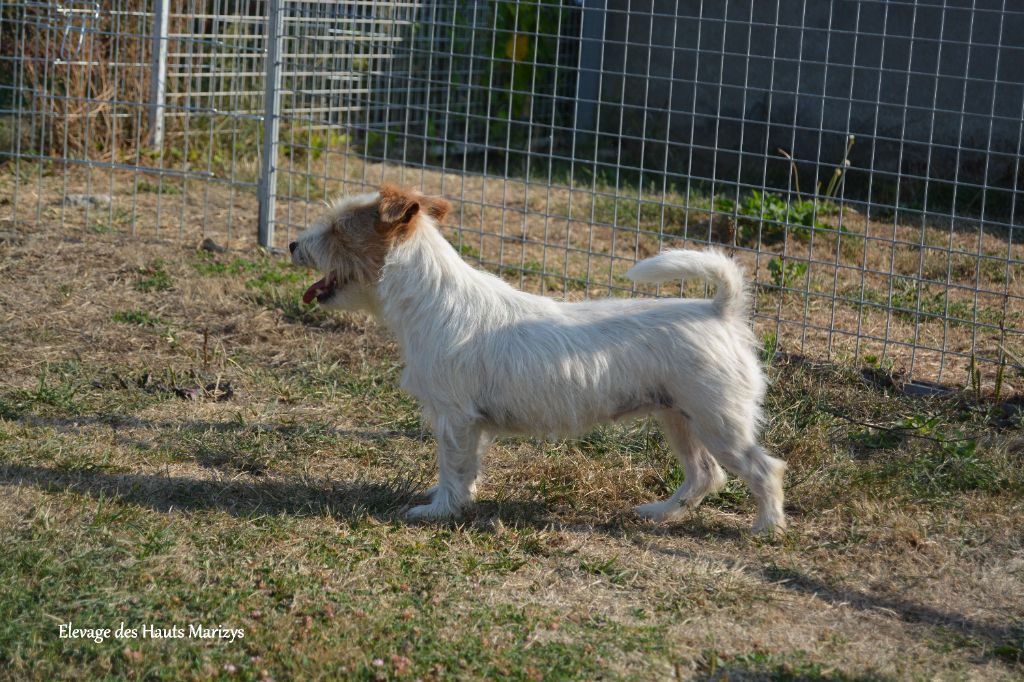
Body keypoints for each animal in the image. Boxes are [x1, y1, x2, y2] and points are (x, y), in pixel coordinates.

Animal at [292, 184, 786, 532]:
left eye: (338, 229)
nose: (293, 245)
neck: (430, 298)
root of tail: (721, 309)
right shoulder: (470, 426)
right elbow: (465, 469)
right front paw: (454, 501)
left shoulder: (454, 419)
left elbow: (452, 468)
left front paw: (438, 510)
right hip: (680, 418)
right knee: (705, 475)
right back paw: (660, 512)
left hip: (719, 422)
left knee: (764, 469)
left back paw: (767, 527)